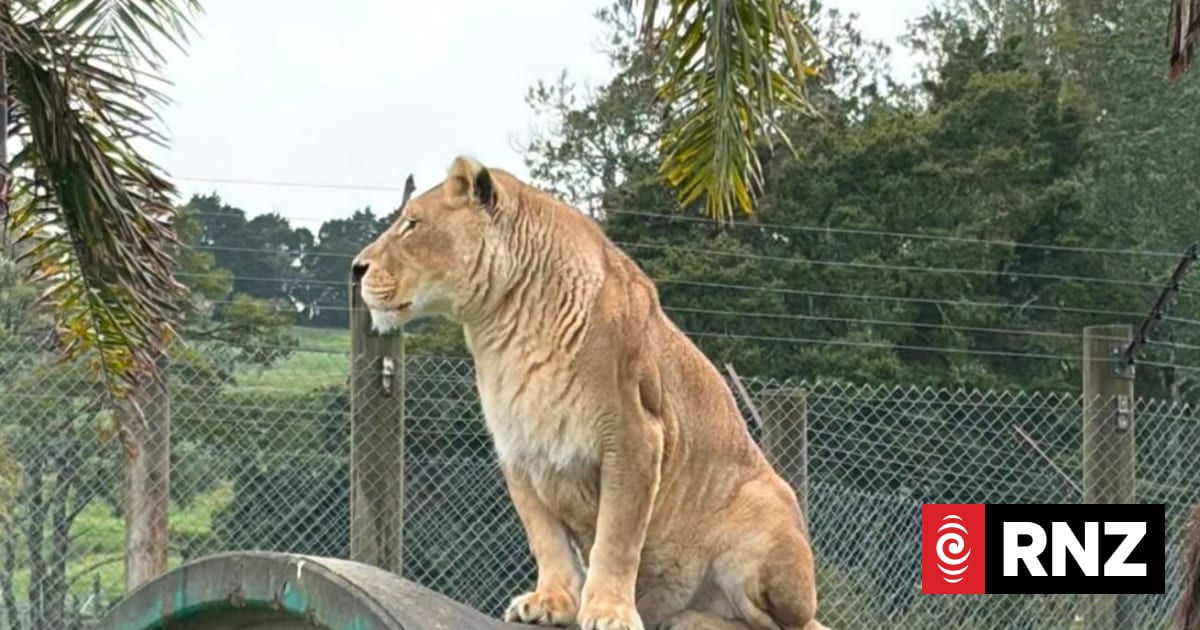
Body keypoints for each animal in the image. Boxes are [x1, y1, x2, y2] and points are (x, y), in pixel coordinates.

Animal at [353, 156, 828, 630]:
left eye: (411, 225)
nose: (356, 268)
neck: (507, 324)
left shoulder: (636, 437)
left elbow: (616, 538)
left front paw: (608, 611)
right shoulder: (519, 448)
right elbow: (546, 537)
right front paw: (551, 601)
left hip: (764, 511)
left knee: (785, 625)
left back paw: (690, 619)